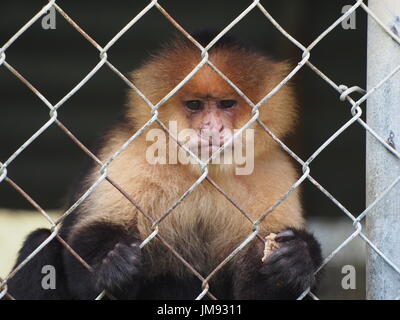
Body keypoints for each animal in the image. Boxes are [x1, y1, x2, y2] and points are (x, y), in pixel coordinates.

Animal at [5, 32, 322, 300]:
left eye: (226, 104)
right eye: (194, 105)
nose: (211, 128)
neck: (203, 172)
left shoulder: (274, 169)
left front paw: (296, 260)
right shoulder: (127, 152)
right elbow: (85, 252)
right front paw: (112, 263)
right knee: (41, 242)